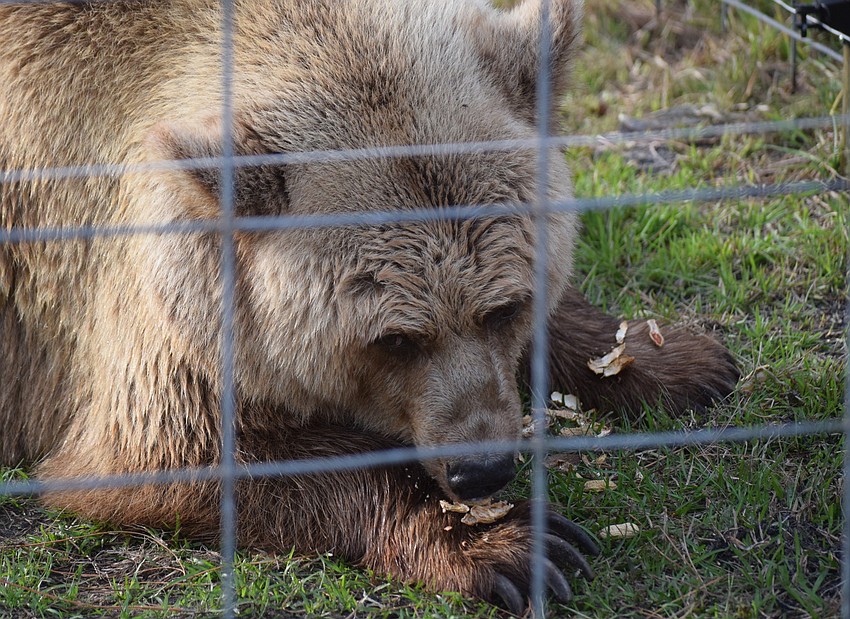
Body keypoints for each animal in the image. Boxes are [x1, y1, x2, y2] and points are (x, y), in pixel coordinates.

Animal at [0, 0, 739, 611]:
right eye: (395, 338)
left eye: (503, 308)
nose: (481, 467)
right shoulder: (149, 307)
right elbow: (178, 453)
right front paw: (517, 544)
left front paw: (676, 358)